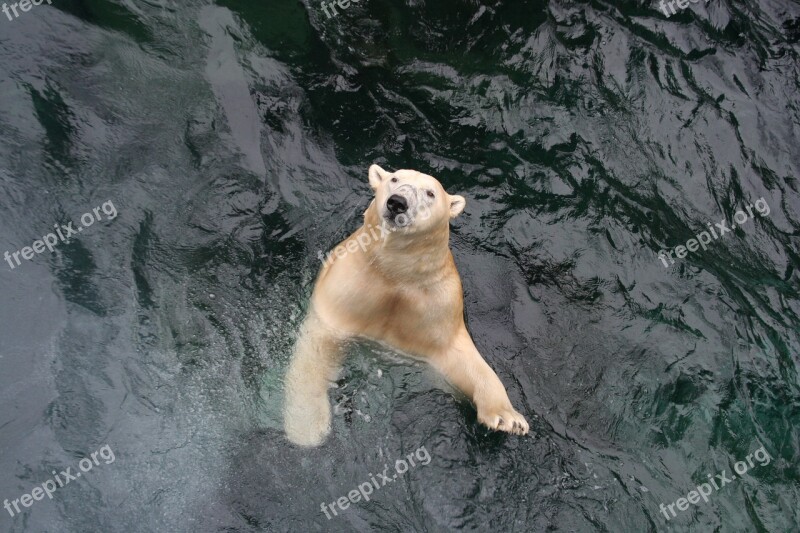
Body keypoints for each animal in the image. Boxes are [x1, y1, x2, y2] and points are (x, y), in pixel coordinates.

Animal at [284, 163, 528, 444]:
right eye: (394, 179)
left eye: (430, 193)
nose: (397, 202)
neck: (394, 273)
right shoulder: (346, 290)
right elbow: (318, 348)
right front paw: (307, 427)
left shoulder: (435, 305)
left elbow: (458, 356)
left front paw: (508, 419)